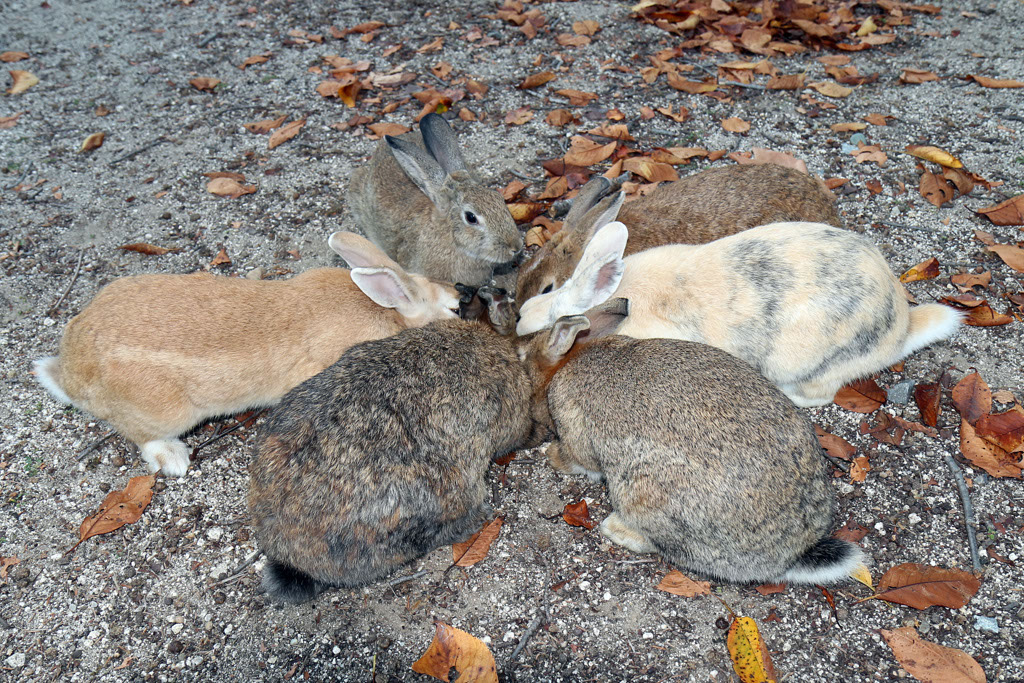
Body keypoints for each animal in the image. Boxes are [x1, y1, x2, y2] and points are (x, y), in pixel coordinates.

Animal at [33, 231, 461, 477]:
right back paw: (174, 458)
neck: (389, 311)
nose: (463, 295)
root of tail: (70, 372)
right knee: (140, 435)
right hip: (167, 412)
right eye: (454, 309)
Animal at [523, 300, 866, 584]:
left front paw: (552, 455)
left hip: (644, 493)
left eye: (525, 358)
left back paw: (615, 529)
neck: (568, 361)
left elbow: (581, 460)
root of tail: (791, 554)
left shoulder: (575, 429)